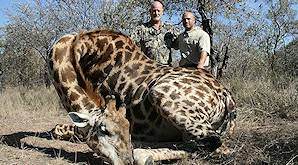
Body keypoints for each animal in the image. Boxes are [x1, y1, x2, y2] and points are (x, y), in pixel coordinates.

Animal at [48, 29, 235, 164]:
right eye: (104, 130)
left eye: (127, 127)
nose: (126, 161)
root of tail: (227, 97)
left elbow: (59, 129)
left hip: (161, 94)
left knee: (218, 145)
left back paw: (143, 153)